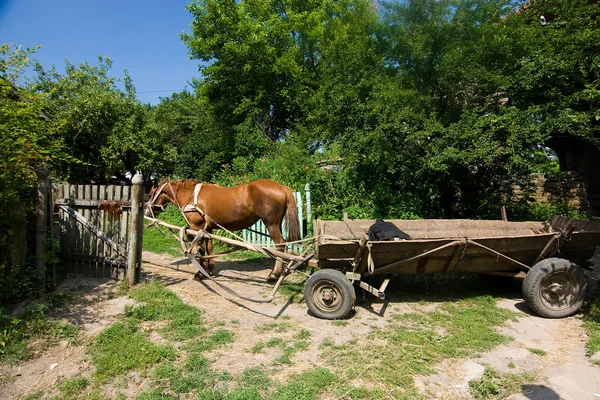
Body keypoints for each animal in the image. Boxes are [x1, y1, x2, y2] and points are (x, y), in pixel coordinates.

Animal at [145, 180, 300, 280]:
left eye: (152, 193)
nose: (147, 211)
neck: (192, 195)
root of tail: (281, 187)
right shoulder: (208, 229)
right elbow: (209, 249)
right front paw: (209, 271)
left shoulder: (197, 228)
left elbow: (201, 250)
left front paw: (200, 274)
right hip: (277, 224)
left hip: (271, 224)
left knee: (279, 244)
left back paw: (274, 274)